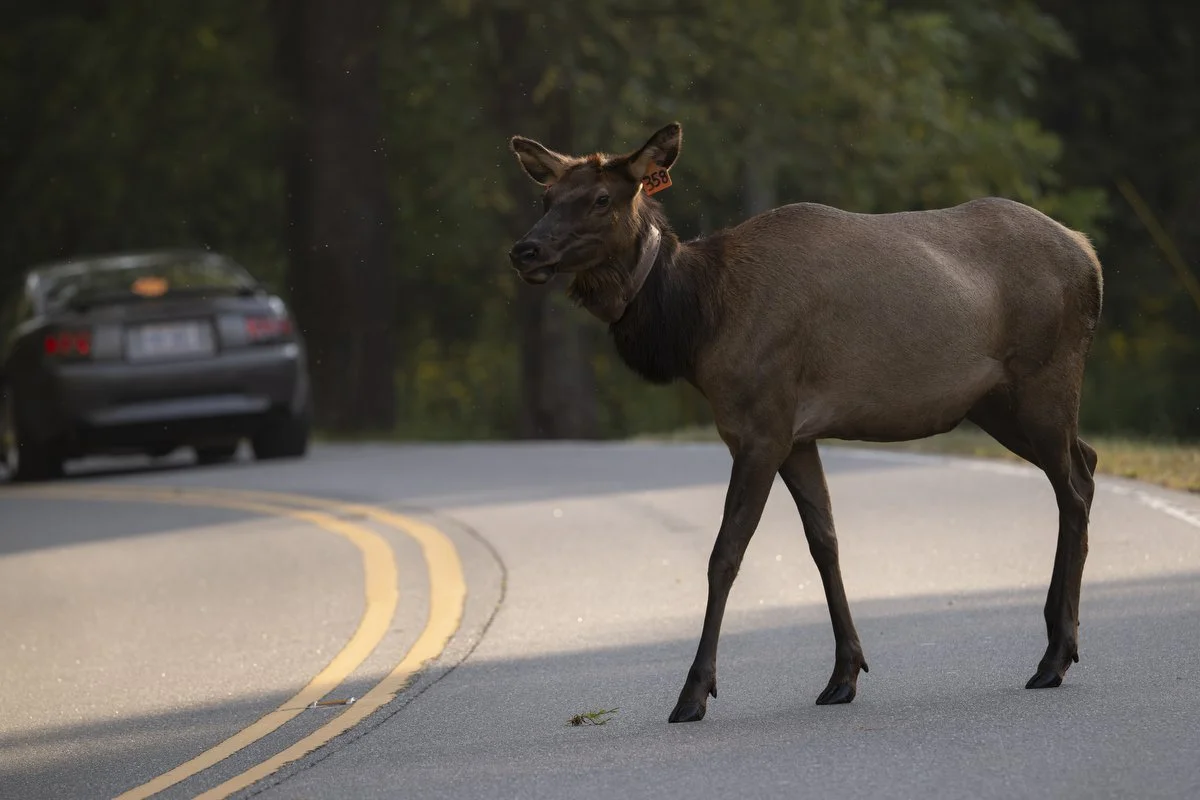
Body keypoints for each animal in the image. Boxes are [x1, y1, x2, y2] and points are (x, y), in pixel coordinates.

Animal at [506, 121, 1103, 723]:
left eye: (602, 199)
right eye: (546, 197)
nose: (524, 250)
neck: (699, 323)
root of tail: (1090, 256)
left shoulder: (762, 427)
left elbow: (726, 554)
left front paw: (693, 693)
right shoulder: (797, 436)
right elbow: (825, 542)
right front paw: (845, 673)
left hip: (1045, 380)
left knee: (1073, 488)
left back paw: (1055, 656)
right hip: (996, 404)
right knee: (1087, 462)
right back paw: (1058, 638)